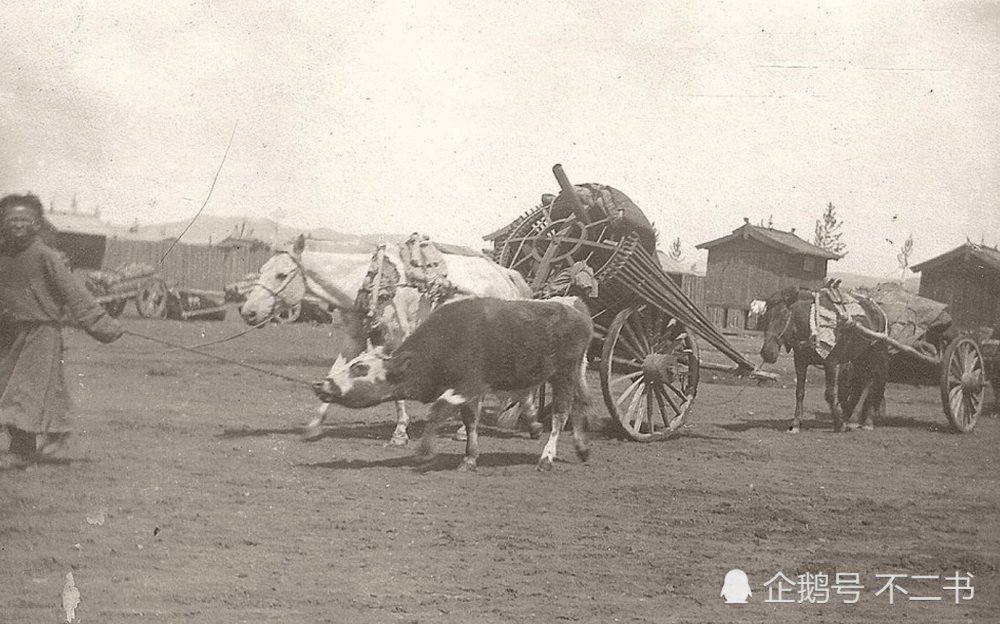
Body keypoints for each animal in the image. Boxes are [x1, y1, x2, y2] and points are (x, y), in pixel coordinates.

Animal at [239, 234, 532, 444]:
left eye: (281, 274)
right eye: (262, 270)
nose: (248, 311)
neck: (373, 279)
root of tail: (504, 273)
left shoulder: (396, 342)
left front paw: (399, 433)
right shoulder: (355, 339)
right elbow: (334, 373)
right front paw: (313, 425)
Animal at [756, 286, 892, 432]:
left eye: (784, 314)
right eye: (765, 317)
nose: (767, 353)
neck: (812, 325)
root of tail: (878, 310)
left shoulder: (831, 363)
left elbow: (830, 394)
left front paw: (839, 423)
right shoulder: (800, 361)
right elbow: (800, 392)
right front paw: (796, 424)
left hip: (875, 354)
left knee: (872, 382)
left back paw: (864, 421)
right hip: (858, 357)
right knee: (861, 382)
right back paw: (854, 419)